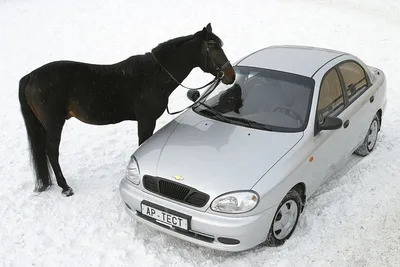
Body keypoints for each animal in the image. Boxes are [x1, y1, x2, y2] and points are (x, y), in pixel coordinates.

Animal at [18, 23, 236, 198]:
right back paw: (65, 187)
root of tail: (30, 76)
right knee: (51, 152)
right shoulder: (146, 120)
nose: (230, 75)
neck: (154, 75)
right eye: (213, 47)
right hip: (54, 123)